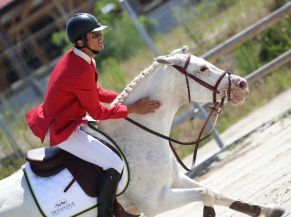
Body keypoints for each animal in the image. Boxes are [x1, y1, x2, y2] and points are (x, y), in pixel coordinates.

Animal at [0, 46, 286, 216]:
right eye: (203, 68)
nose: (241, 84)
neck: (139, 137)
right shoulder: (155, 202)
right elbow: (206, 194)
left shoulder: (174, 182)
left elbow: (214, 192)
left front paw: (267, 209)